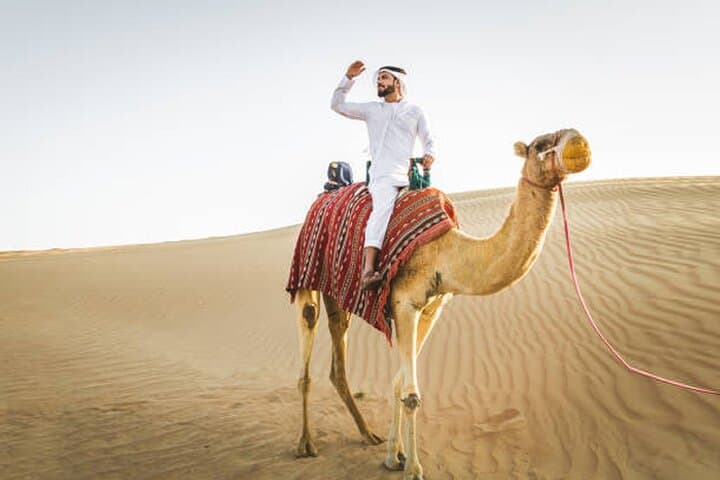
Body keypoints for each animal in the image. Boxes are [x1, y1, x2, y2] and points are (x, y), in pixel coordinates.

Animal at [292, 128, 591, 480]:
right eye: (542, 145)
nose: (579, 143)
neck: (447, 252)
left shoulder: (432, 308)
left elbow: (399, 382)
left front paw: (395, 456)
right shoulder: (404, 303)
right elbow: (410, 394)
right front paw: (413, 468)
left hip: (338, 294)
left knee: (338, 351)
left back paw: (368, 434)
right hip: (306, 274)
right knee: (308, 339)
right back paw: (306, 444)